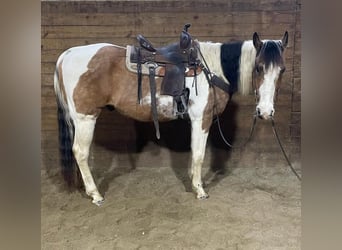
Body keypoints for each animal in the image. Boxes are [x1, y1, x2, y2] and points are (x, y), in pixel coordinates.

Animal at [54, 31, 288, 205]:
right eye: (258, 68)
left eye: (282, 70)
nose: (265, 111)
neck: (213, 70)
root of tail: (66, 55)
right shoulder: (201, 119)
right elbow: (199, 154)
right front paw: (200, 190)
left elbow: (194, 152)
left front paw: (193, 181)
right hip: (85, 118)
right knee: (80, 152)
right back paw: (95, 194)